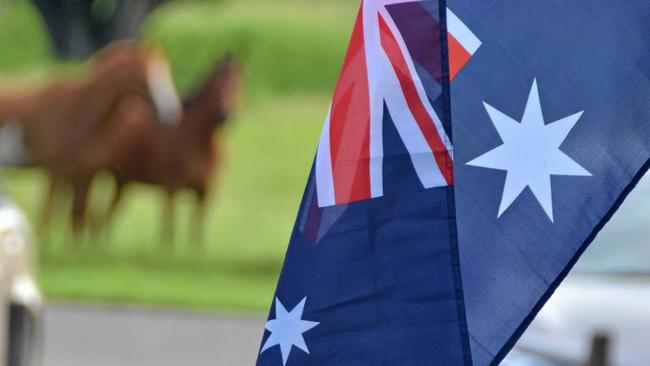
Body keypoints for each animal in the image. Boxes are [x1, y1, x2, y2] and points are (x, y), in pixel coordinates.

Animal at [0, 40, 181, 234]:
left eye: (167, 72)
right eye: (146, 75)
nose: (171, 113)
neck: (80, 111)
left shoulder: (83, 176)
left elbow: (77, 222)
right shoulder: (56, 173)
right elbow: (46, 220)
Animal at [85, 54, 239, 244]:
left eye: (238, 83)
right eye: (216, 84)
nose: (222, 116)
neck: (199, 143)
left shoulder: (204, 195)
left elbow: (196, 235)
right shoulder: (171, 190)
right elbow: (169, 232)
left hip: (121, 183)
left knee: (102, 220)